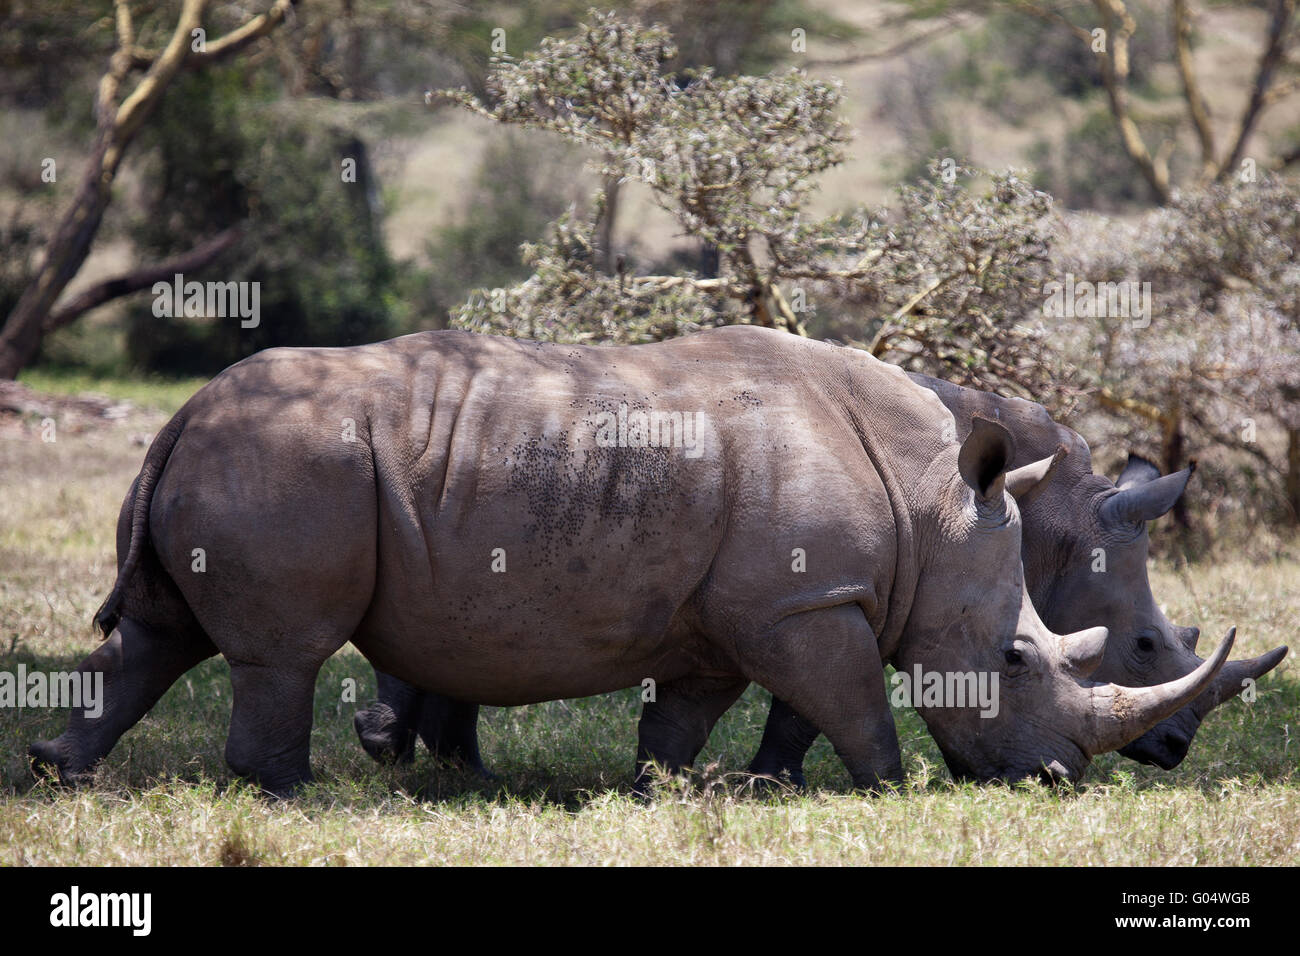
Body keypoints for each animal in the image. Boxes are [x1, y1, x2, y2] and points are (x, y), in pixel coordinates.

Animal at [27, 325, 1227, 796]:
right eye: (1020, 659)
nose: (1060, 778)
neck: (936, 501)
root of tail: (181, 412)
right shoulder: (806, 603)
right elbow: (856, 708)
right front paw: (891, 789)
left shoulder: (738, 610)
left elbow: (685, 713)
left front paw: (671, 790)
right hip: (291, 461)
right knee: (280, 650)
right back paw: (291, 791)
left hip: (249, 456)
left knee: (158, 633)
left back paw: (58, 766)